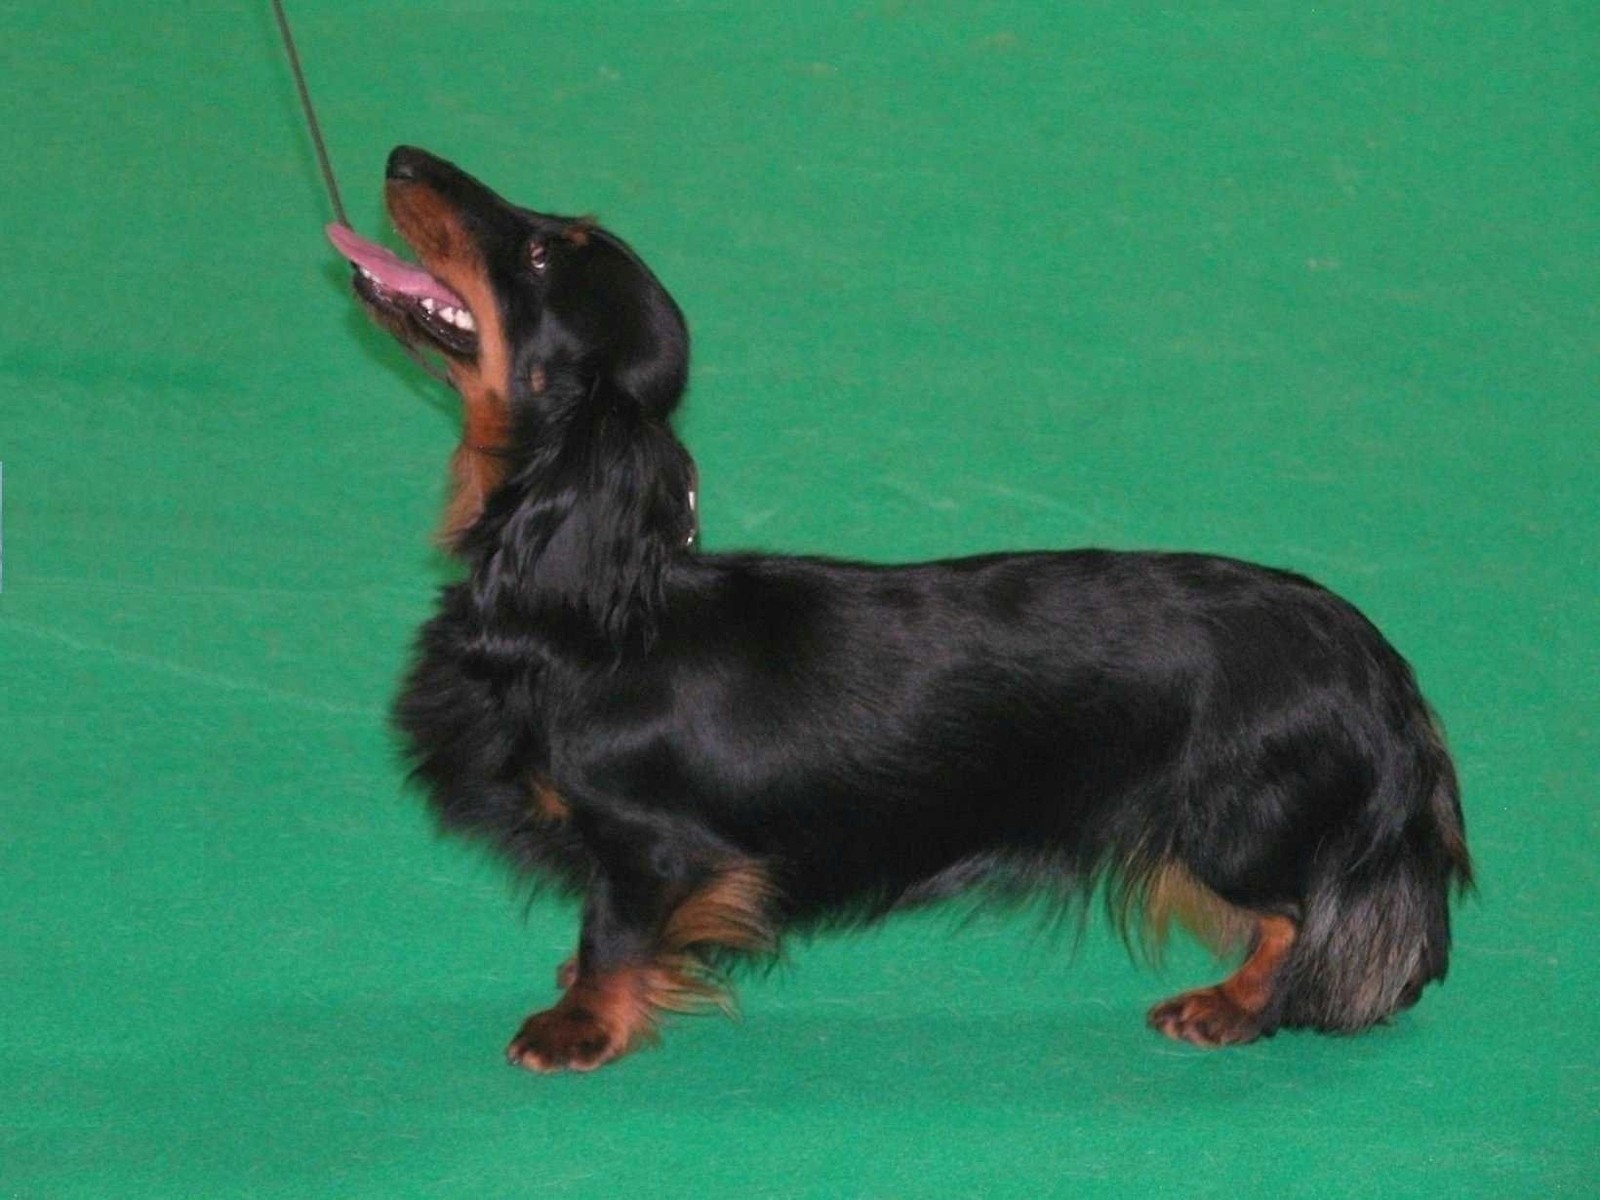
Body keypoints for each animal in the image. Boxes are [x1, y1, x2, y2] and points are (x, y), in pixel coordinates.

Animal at [328, 146, 1472, 1072]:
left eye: (537, 256)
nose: (401, 157)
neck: (600, 606)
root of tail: (1373, 661)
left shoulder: (652, 844)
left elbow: (613, 929)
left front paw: (581, 1026)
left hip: (1229, 826)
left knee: (1295, 917)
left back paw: (1229, 1006)